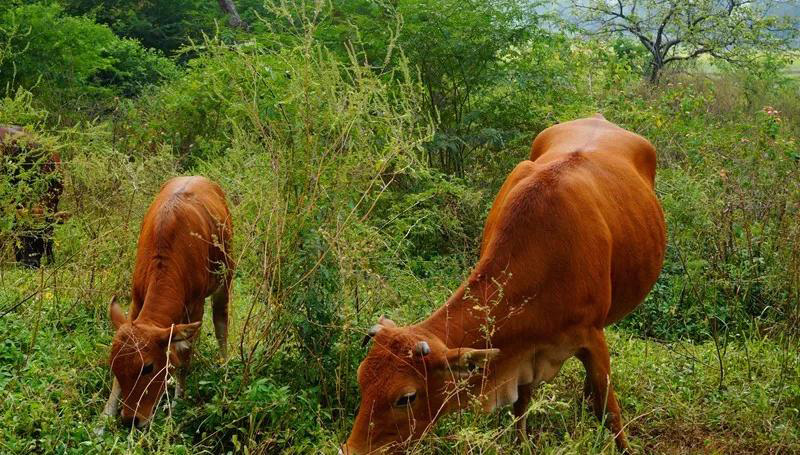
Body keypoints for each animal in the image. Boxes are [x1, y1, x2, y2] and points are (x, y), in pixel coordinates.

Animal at [98, 176, 233, 430]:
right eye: (113, 366)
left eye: (148, 367)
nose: (131, 420)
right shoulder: (136, 300)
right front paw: (105, 416)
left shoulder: (195, 307)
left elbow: (184, 356)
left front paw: (178, 402)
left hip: (225, 280)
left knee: (221, 322)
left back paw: (224, 367)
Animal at [340, 115, 664, 455]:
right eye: (361, 380)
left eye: (406, 398)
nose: (350, 450)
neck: (544, 256)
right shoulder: (523, 350)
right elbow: (521, 404)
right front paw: (522, 443)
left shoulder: (592, 336)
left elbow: (610, 408)